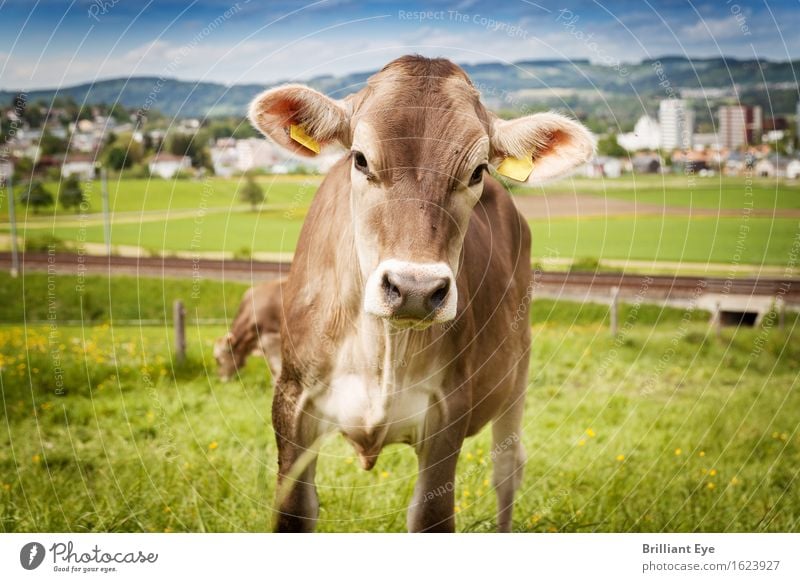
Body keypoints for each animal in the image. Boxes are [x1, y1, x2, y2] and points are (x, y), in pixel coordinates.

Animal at [250, 56, 592, 532]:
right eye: (360, 159)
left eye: (477, 170)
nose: (415, 289)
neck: (382, 352)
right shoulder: (292, 404)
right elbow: (294, 512)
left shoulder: (448, 416)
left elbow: (432, 514)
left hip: (519, 370)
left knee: (508, 469)